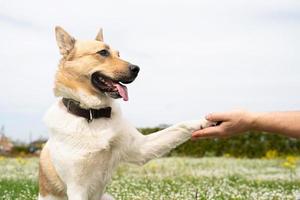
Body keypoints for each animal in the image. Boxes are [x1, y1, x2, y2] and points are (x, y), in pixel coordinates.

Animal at [38, 27, 213, 200]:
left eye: (119, 54)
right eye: (103, 52)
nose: (137, 69)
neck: (92, 114)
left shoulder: (142, 147)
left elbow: (179, 126)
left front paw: (205, 121)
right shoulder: (77, 187)